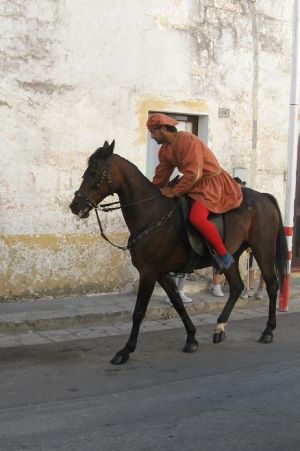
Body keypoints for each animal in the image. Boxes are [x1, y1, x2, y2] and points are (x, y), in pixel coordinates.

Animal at [69, 143, 288, 366]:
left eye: (93, 172)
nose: (75, 205)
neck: (151, 212)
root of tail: (264, 197)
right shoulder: (162, 274)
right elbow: (177, 303)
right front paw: (191, 338)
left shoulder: (148, 272)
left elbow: (139, 312)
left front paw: (126, 350)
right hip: (231, 257)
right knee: (236, 287)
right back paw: (220, 328)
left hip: (262, 251)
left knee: (272, 285)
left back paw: (268, 331)